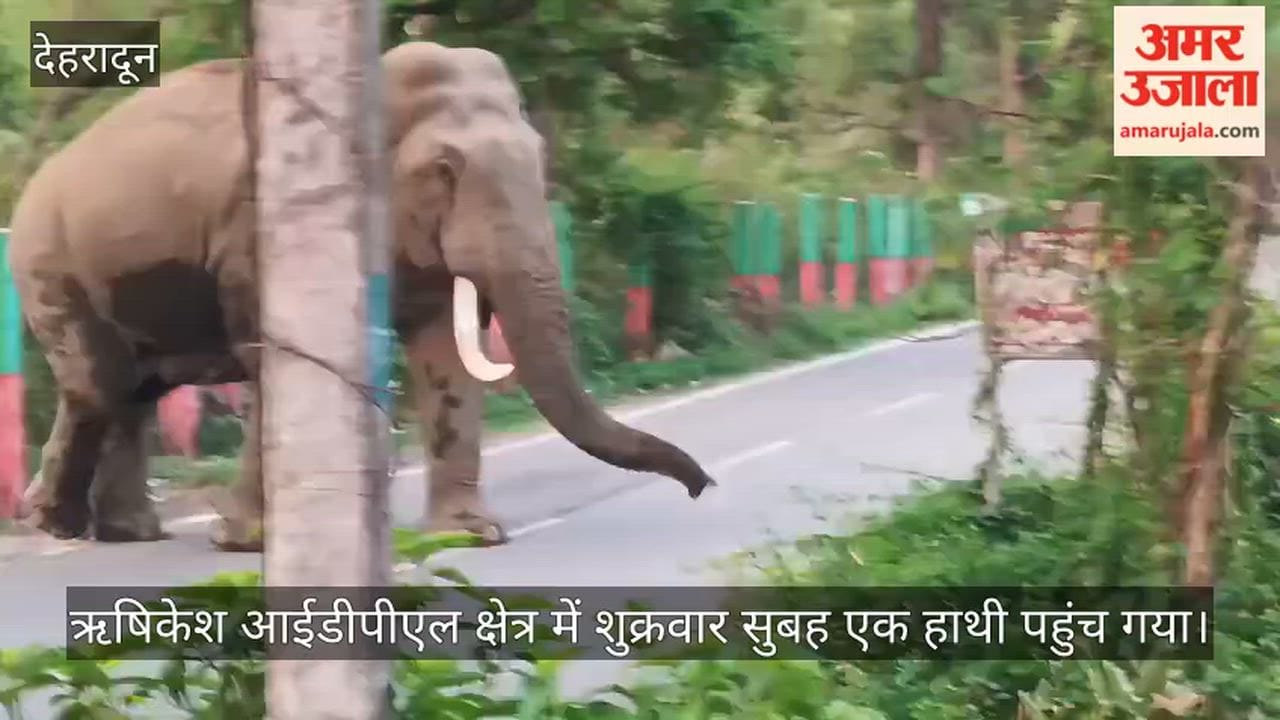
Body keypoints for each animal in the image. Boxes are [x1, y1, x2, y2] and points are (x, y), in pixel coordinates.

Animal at [8, 41, 716, 550]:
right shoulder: (261, 230)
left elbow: (445, 356)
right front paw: (246, 542)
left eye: (541, 159)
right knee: (99, 382)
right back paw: (58, 525)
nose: (703, 486)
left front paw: (471, 536)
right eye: (444, 171)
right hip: (49, 259)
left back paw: (118, 532)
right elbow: (273, 359)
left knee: (131, 390)